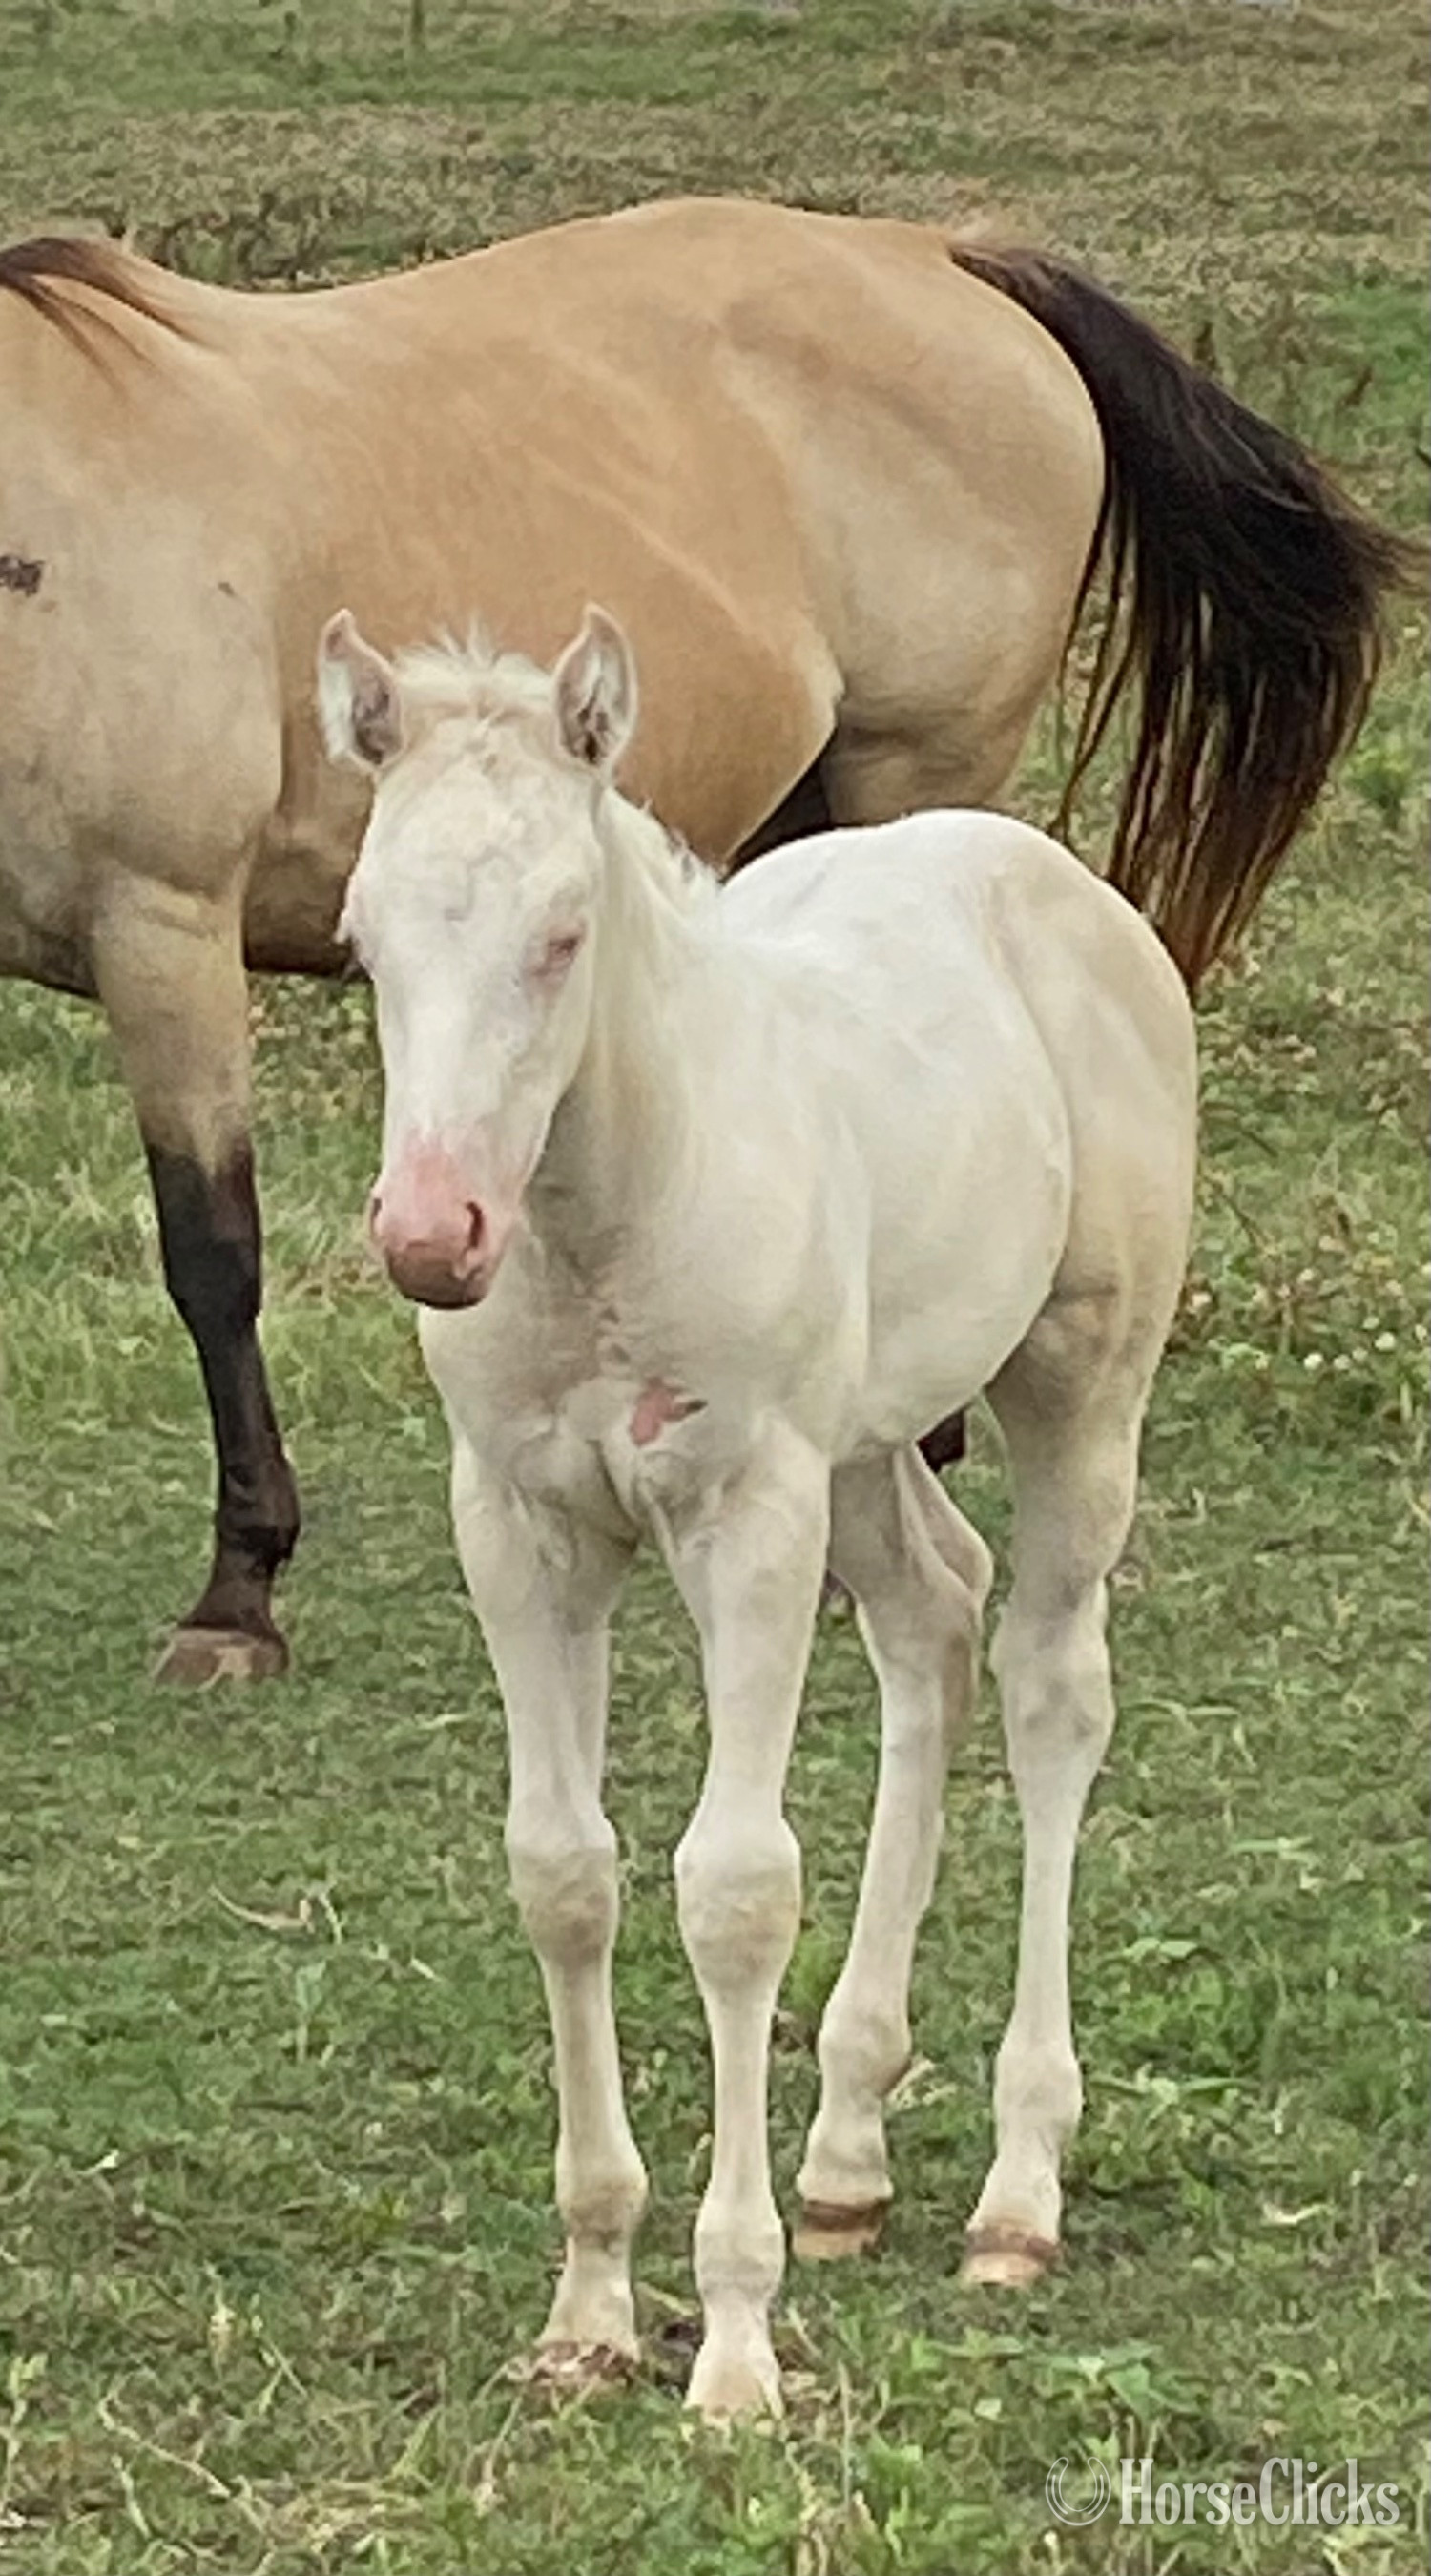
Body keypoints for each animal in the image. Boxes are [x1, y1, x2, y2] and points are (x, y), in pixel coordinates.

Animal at [318, 599, 1198, 2420]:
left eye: (565, 933)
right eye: (364, 943)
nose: (431, 1234)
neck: (604, 1218)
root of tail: (1051, 875)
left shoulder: (749, 1519)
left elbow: (732, 1888)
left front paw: (730, 2343)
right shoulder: (520, 1528)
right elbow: (563, 1873)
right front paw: (588, 2310)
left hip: (1078, 1382)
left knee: (1052, 1685)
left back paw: (1019, 2187)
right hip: (862, 1444)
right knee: (935, 1618)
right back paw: (850, 2149)